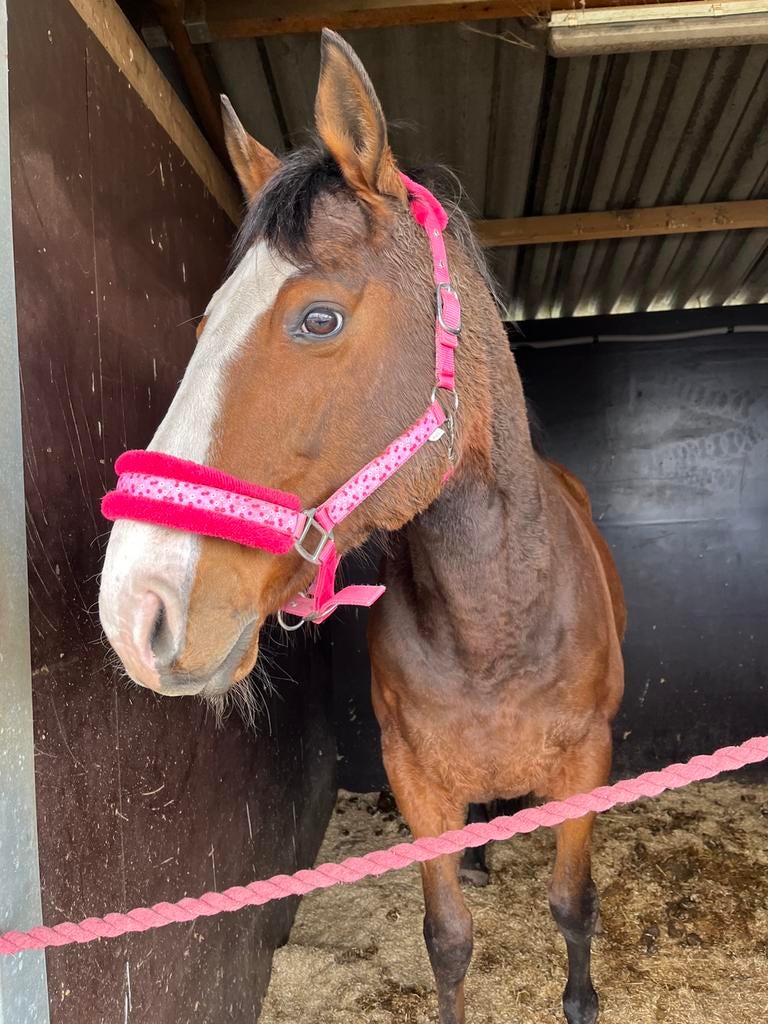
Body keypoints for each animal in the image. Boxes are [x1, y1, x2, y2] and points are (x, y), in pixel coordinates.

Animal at [99, 29, 625, 1024]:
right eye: (204, 324)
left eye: (319, 317)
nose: (136, 611)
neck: (496, 624)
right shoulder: (415, 780)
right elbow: (448, 940)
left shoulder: (588, 767)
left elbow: (575, 907)